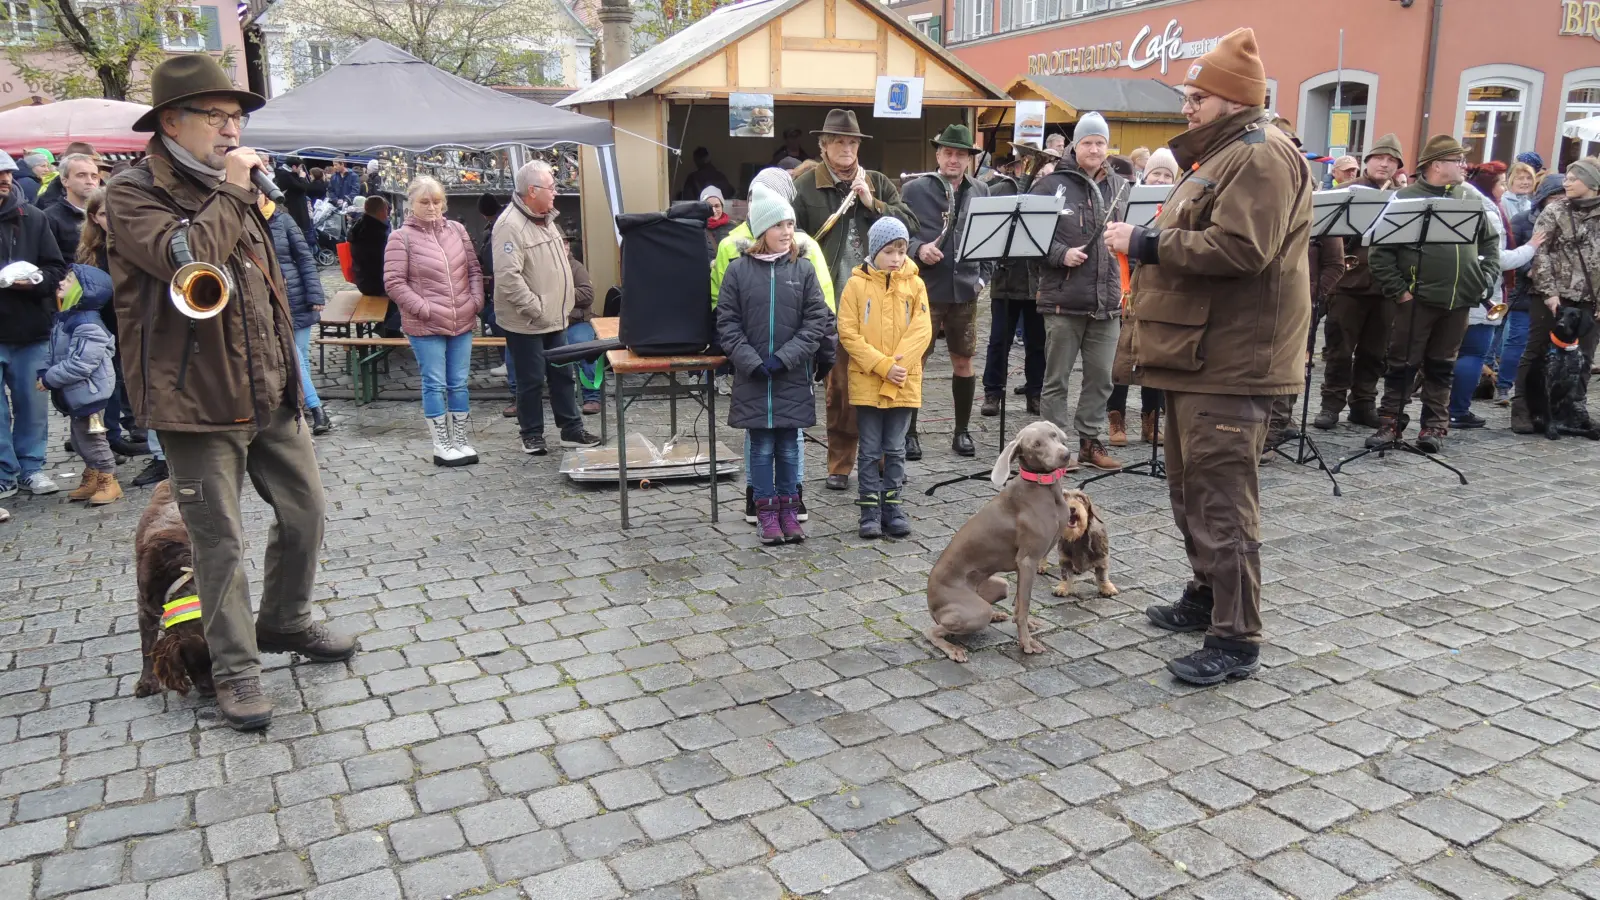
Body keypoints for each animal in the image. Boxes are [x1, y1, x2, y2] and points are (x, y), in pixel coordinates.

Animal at [928, 419, 1075, 659]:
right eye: (1036, 445)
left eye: (1053, 435)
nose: (1065, 455)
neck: (1045, 489)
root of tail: (930, 602)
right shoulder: (1028, 561)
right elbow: (1024, 605)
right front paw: (1026, 643)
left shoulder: (1022, 567)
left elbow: (1019, 604)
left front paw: (1027, 626)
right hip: (976, 611)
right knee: (932, 630)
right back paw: (953, 649)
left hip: (1000, 585)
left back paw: (998, 615)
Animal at [1529, 304, 1593, 438]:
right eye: (1560, 314)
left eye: (1574, 316)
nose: (1560, 325)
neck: (1565, 347)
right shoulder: (1547, 384)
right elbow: (1548, 413)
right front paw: (1551, 431)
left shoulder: (1574, 381)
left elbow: (1568, 403)